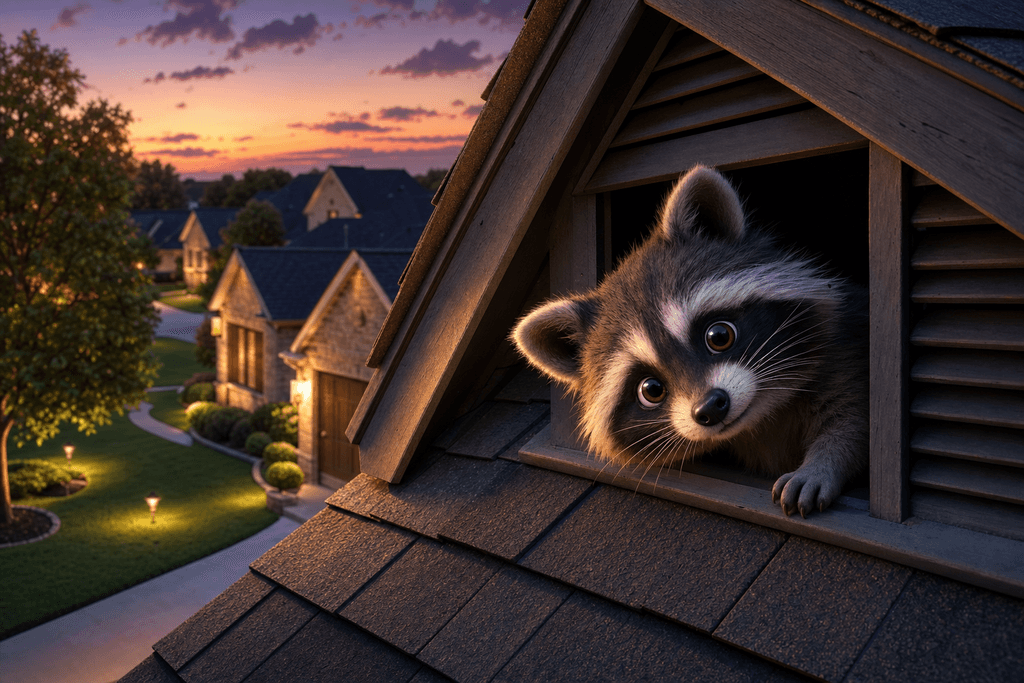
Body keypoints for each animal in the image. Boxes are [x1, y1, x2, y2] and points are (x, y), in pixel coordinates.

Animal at [513, 165, 868, 517]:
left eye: (719, 336)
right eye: (651, 389)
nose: (710, 407)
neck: (760, 417)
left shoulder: (843, 353)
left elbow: (852, 420)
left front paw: (821, 466)